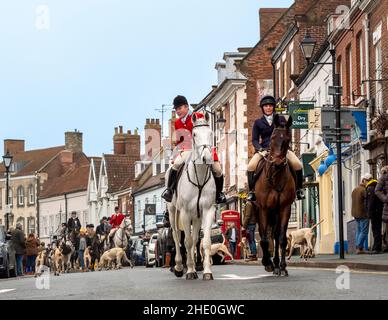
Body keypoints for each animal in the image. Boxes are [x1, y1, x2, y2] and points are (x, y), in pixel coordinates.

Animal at [165, 112, 217, 280]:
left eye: (210, 133)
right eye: (194, 134)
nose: (207, 158)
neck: (199, 176)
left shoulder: (207, 210)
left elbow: (204, 242)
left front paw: (206, 271)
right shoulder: (185, 213)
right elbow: (186, 242)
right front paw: (189, 271)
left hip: (197, 216)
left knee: (194, 240)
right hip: (173, 211)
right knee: (176, 236)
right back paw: (179, 266)